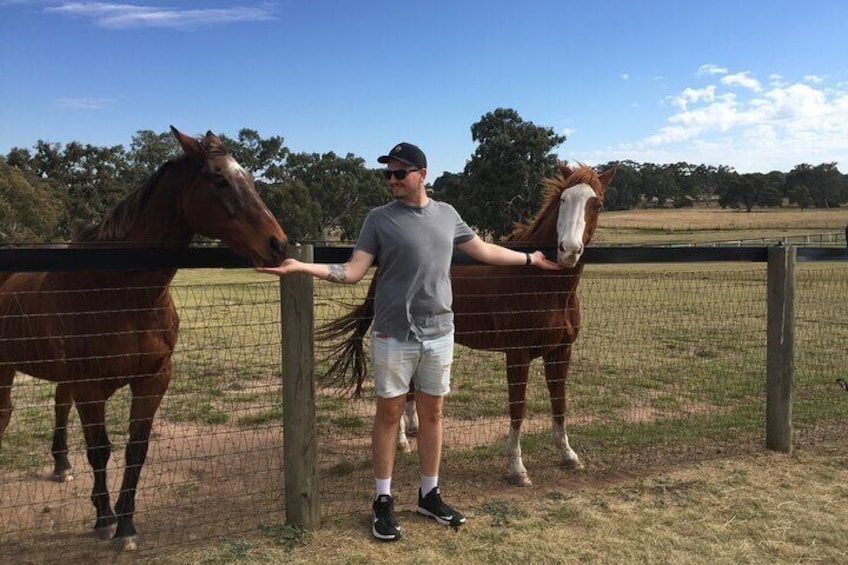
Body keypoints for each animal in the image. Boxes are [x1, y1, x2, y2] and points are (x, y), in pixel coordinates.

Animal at [0, 125, 288, 548]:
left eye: (249, 179)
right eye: (218, 179)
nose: (278, 244)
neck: (119, 290)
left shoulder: (153, 379)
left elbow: (136, 450)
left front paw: (127, 525)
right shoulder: (90, 385)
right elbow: (100, 450)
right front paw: (105, 518)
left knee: (57, 406)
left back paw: (61, 464)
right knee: (9, 413)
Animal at [322, 162, 612, 484]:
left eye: (596, 203)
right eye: (563, 200)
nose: (568, 250)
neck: (540, 286)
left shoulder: (561, 352)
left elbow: (559, 401)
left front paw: (567, 454)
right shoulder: (517, 355)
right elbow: (518, 407)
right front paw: (516, 467)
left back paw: (413, 428)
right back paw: (400, 441)